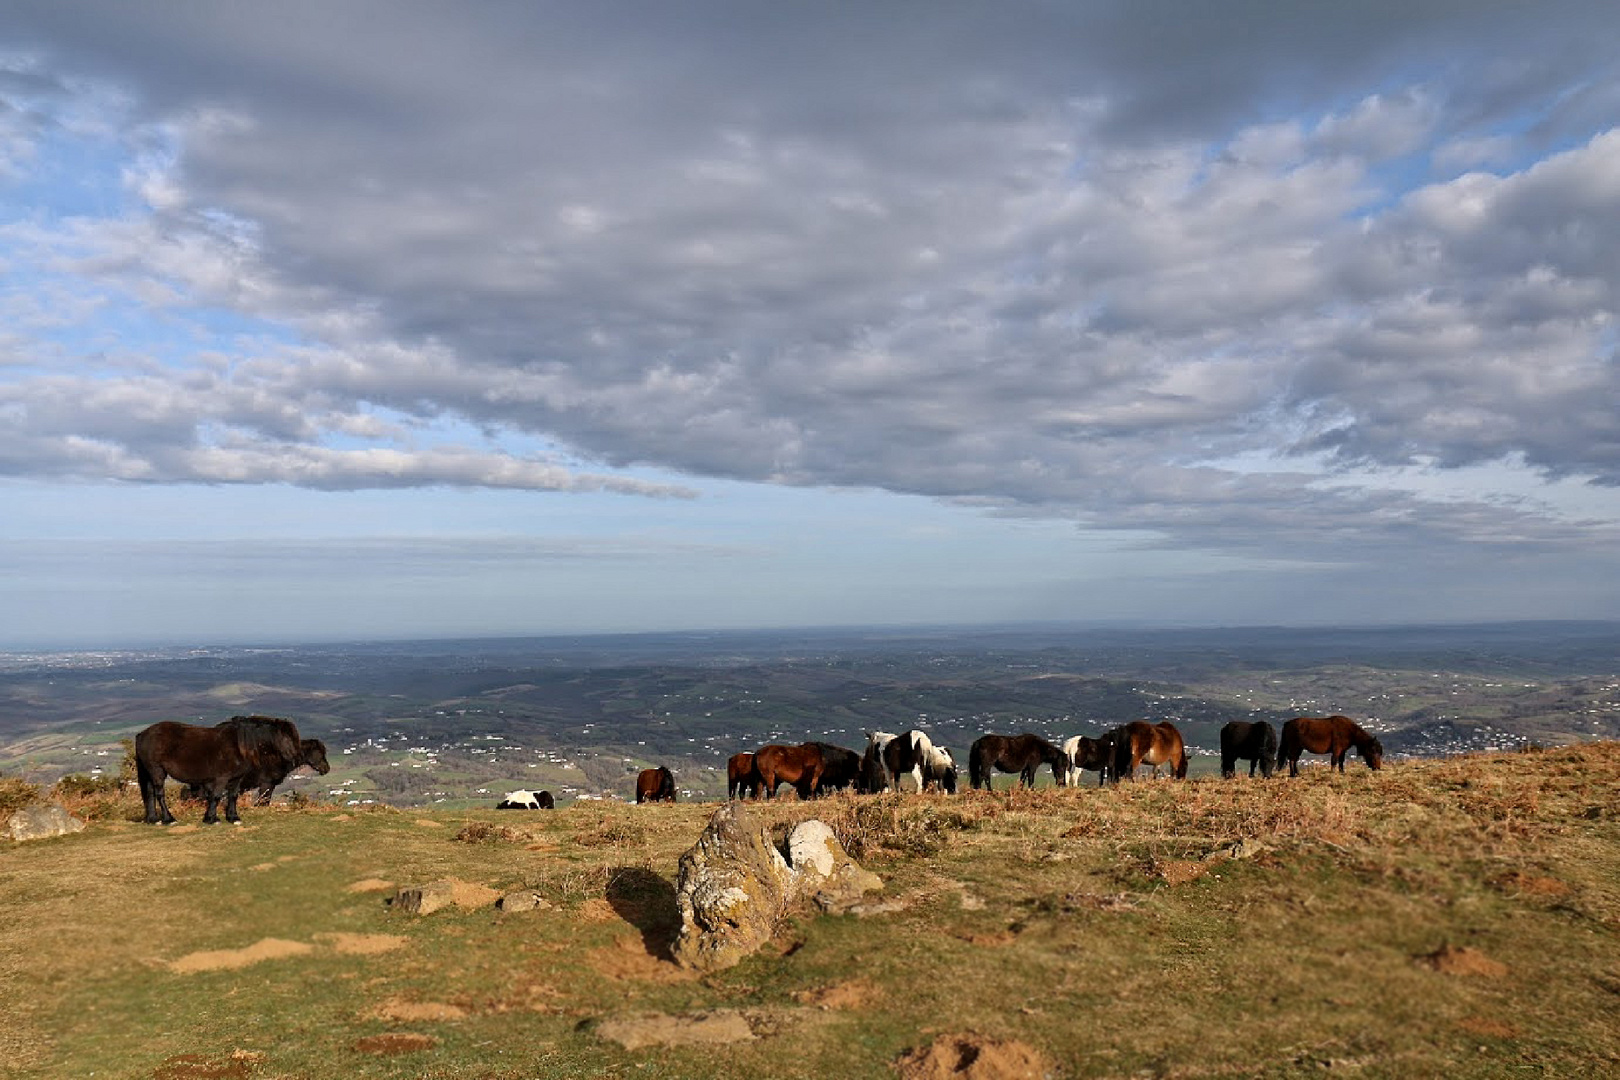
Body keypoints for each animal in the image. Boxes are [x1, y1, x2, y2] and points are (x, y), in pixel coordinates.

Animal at [136, 718, 315, 829]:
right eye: (285, 738)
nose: (296, 757)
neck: (240, 746)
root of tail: (143, 734)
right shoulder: (221, 778)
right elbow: (215, 797)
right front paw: (212, 819)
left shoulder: (236, 778)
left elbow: (232, 796)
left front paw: (233, 817)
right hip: (157, 771)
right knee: (159, 794)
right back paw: (169, 819)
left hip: (149, 772)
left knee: (150, 793)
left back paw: (153, 819)